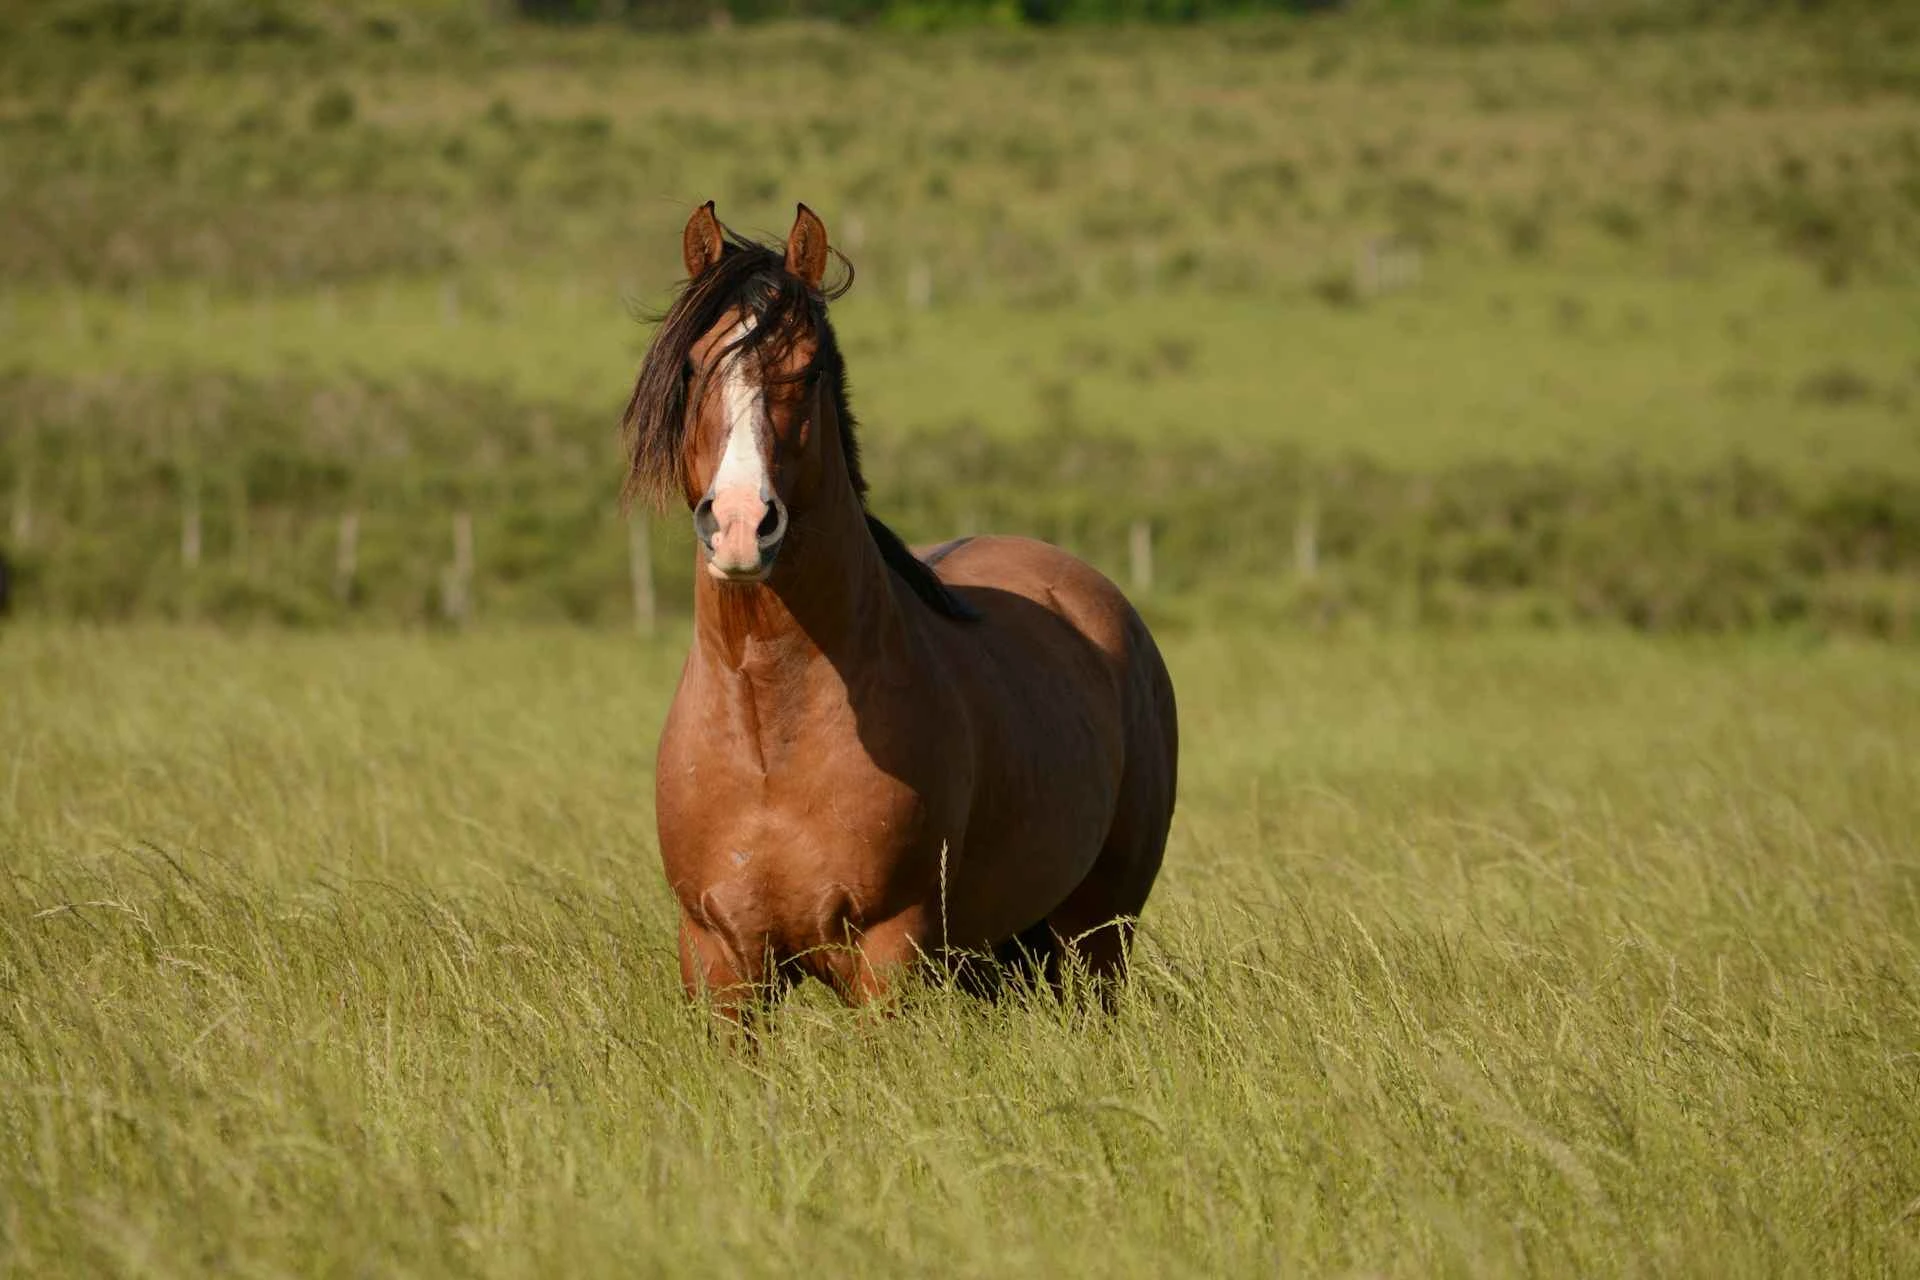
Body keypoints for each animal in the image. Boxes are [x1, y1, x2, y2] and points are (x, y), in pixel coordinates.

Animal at [622, 201, 1178, 1023]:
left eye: (809, 369)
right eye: (693, 368)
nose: (741, 524)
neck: (769, 738)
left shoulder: (889, 957)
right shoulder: (719, 964)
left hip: (1096, 938)